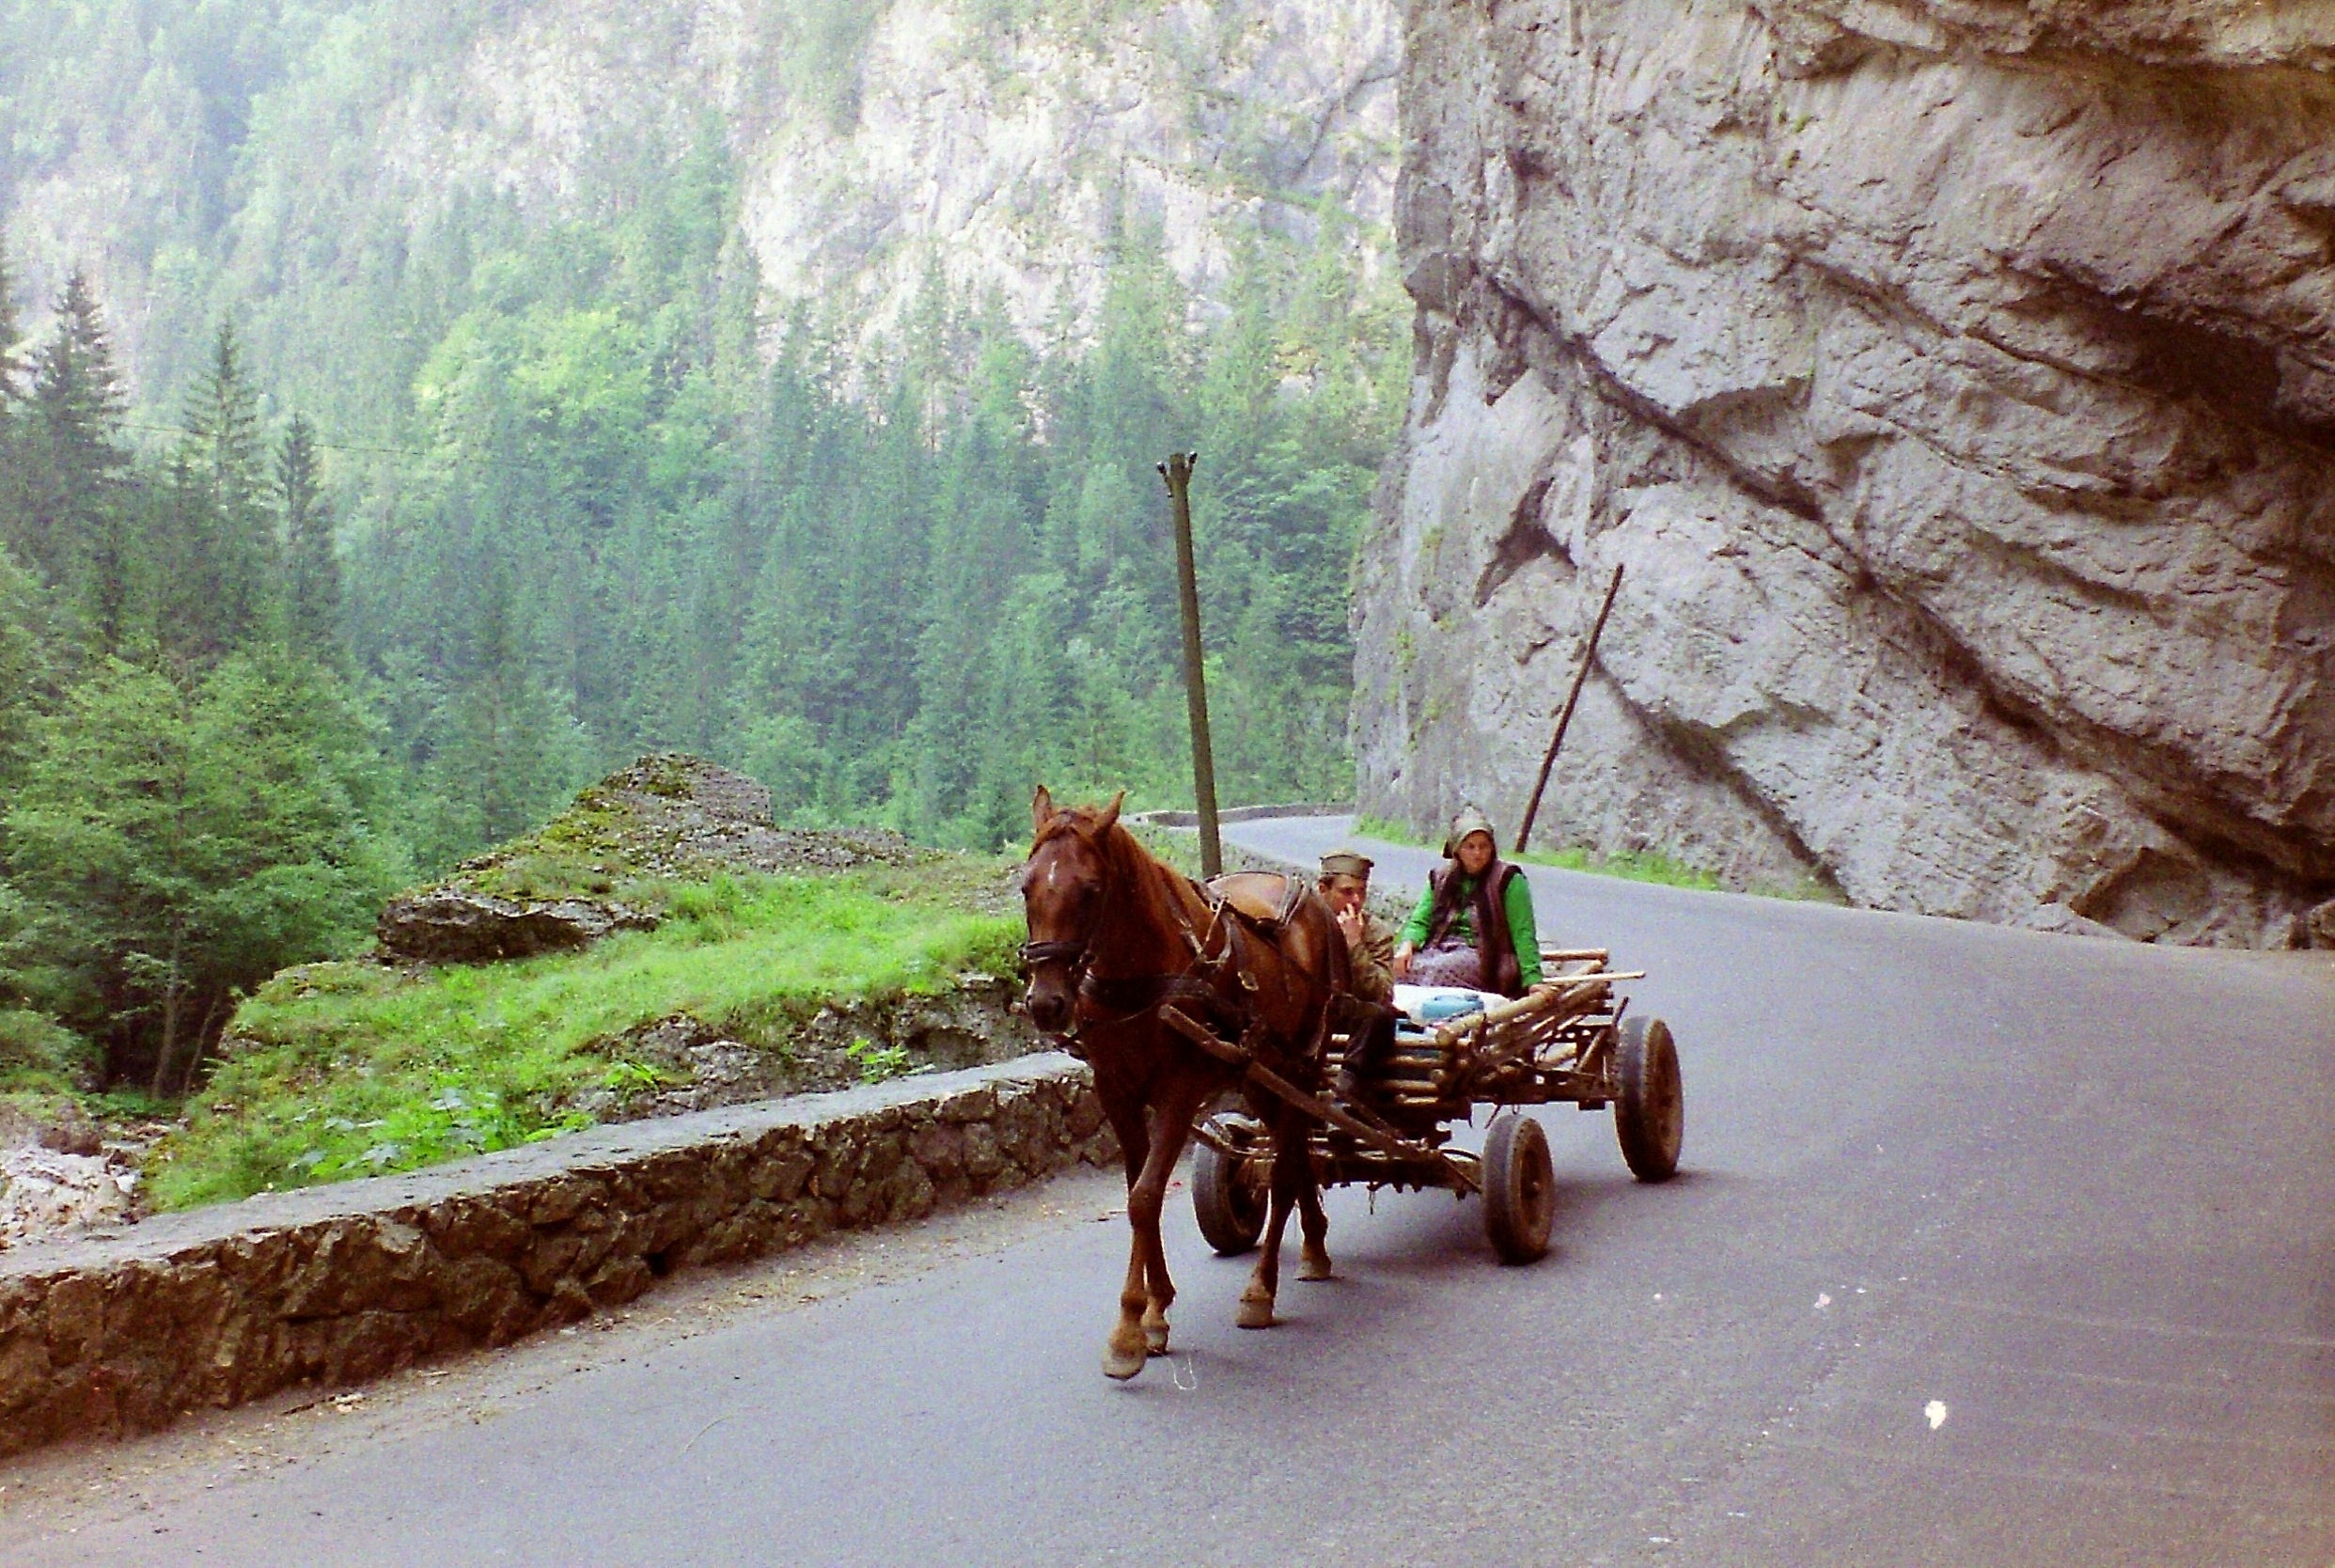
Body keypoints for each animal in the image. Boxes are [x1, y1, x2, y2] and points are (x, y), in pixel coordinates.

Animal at [1022, 790, 1354, 1383]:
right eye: (1025, 886)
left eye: (1091, 890)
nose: (1046, 1003)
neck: (1142, 974)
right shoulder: (1118, 1093)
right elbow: (1137, 1190)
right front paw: (1155, 1312)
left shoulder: (1177, 1093)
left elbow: (1145, 1196)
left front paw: (1128, 1329)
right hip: (1260, 1076)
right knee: (1293, 1160)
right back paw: (1313, 1246)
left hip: (1301, 1067)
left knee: (1286, 1170)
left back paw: (1261, 1289)